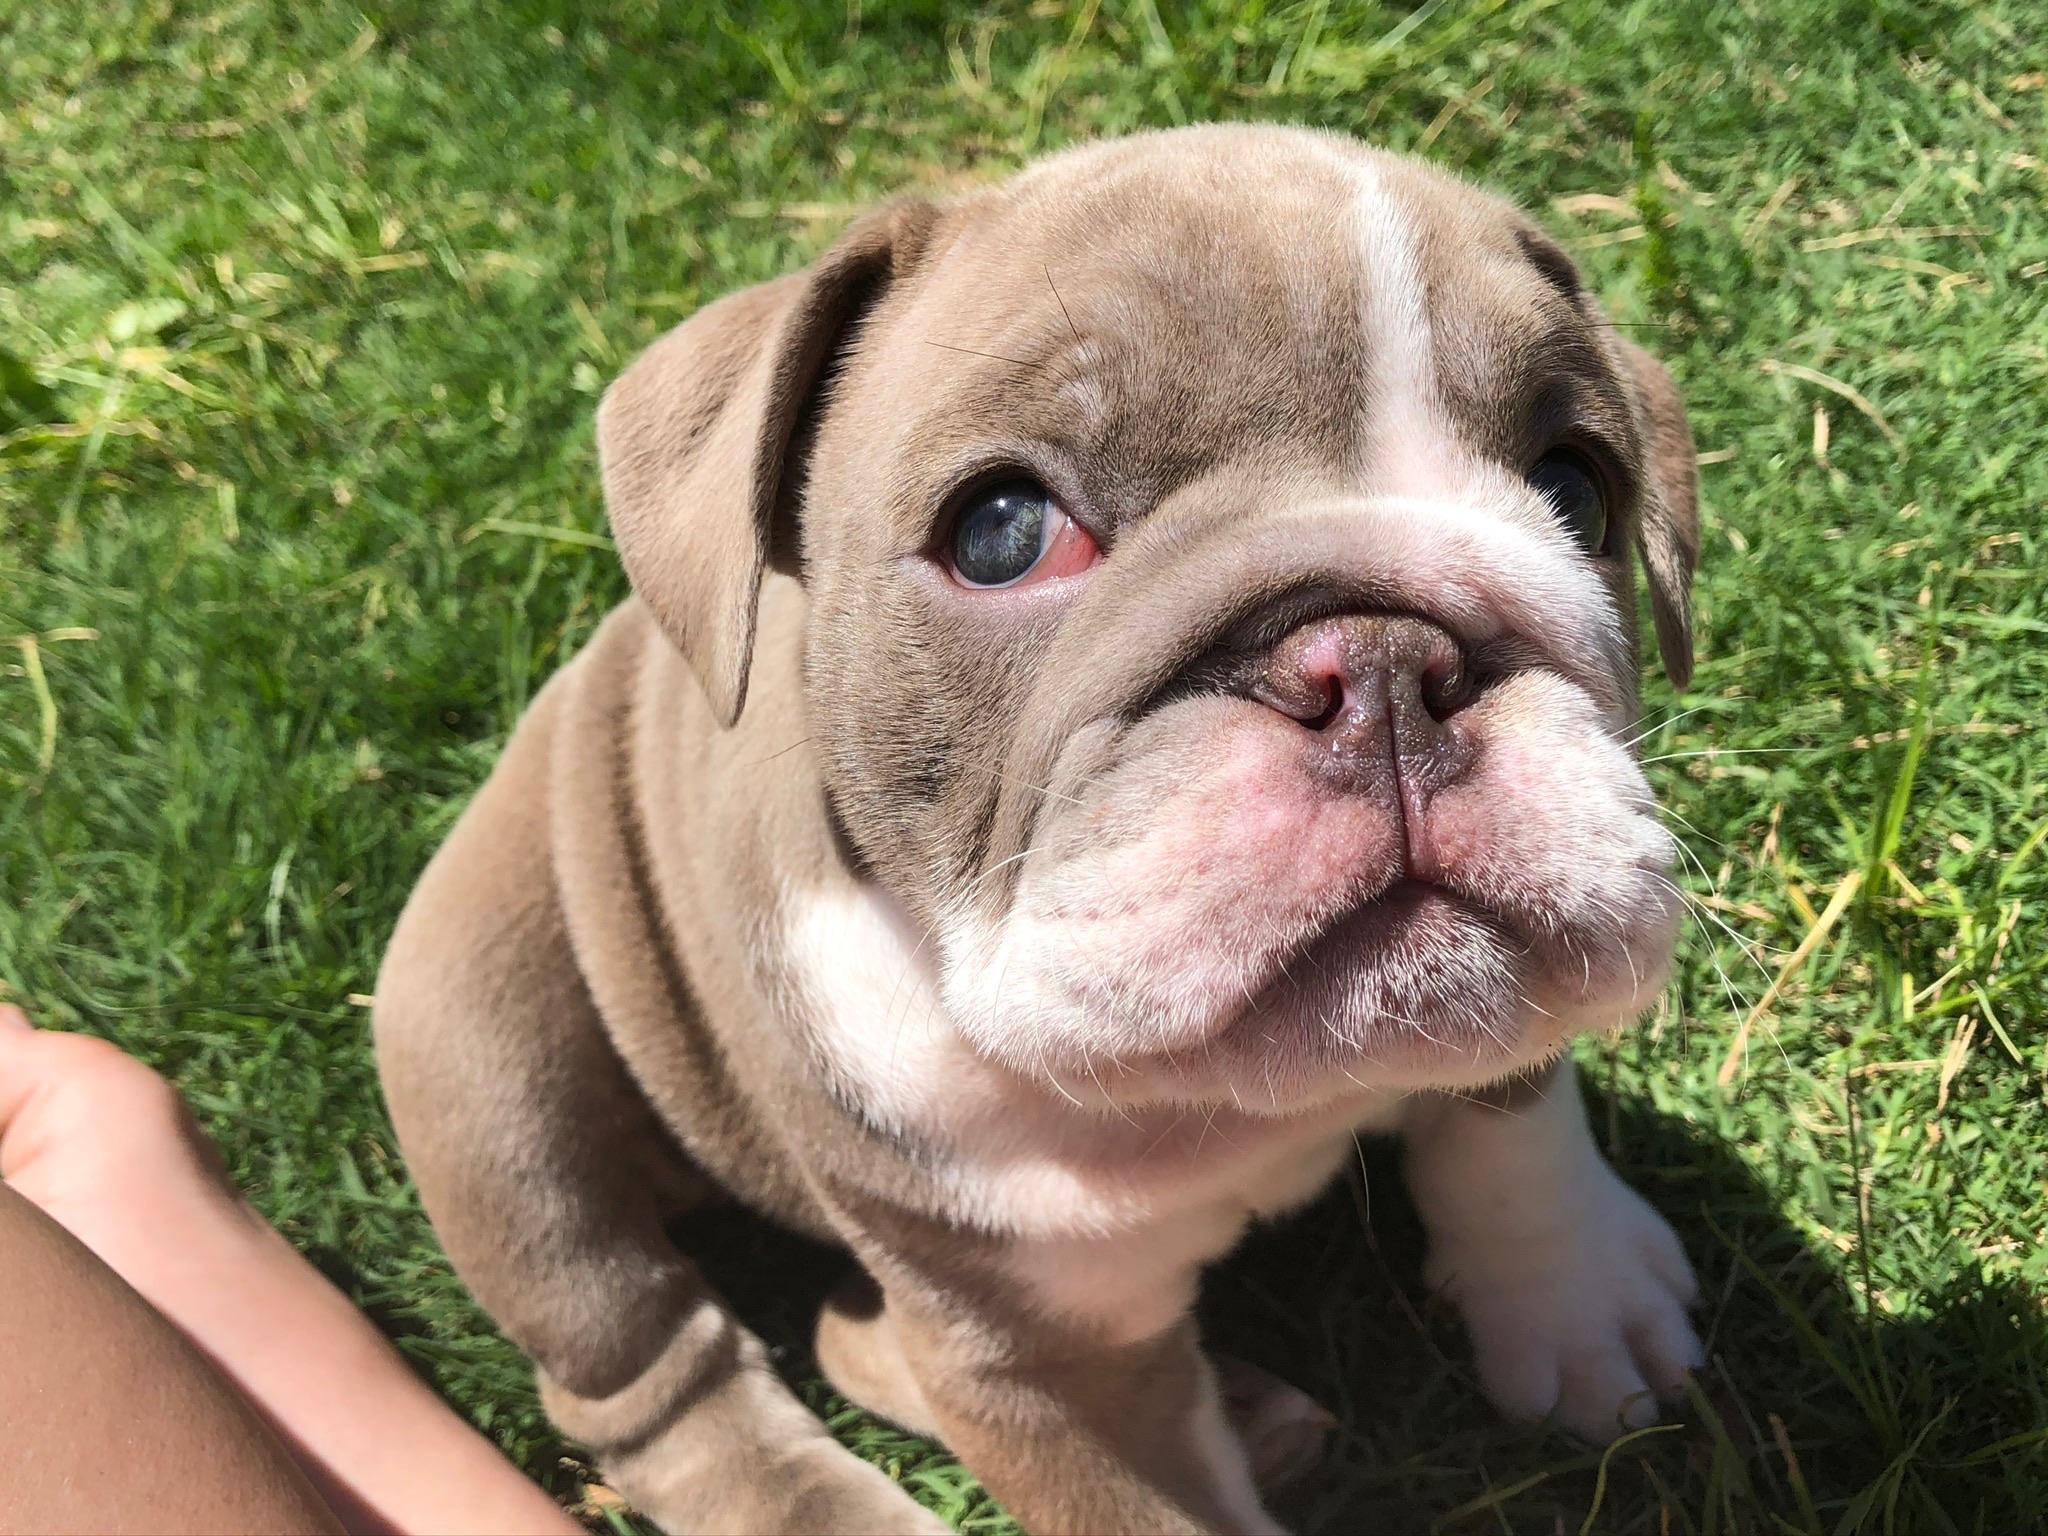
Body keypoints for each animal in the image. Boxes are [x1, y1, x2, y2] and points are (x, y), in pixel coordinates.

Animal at [374, 123, 1704, 1535]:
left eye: (1578, 492)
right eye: (1002, 532)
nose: (1386, 659)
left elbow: (1511, 1115)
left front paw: (1576, 1297)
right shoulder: (1043, 1367)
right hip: (485, 1068)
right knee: (648, 1365)